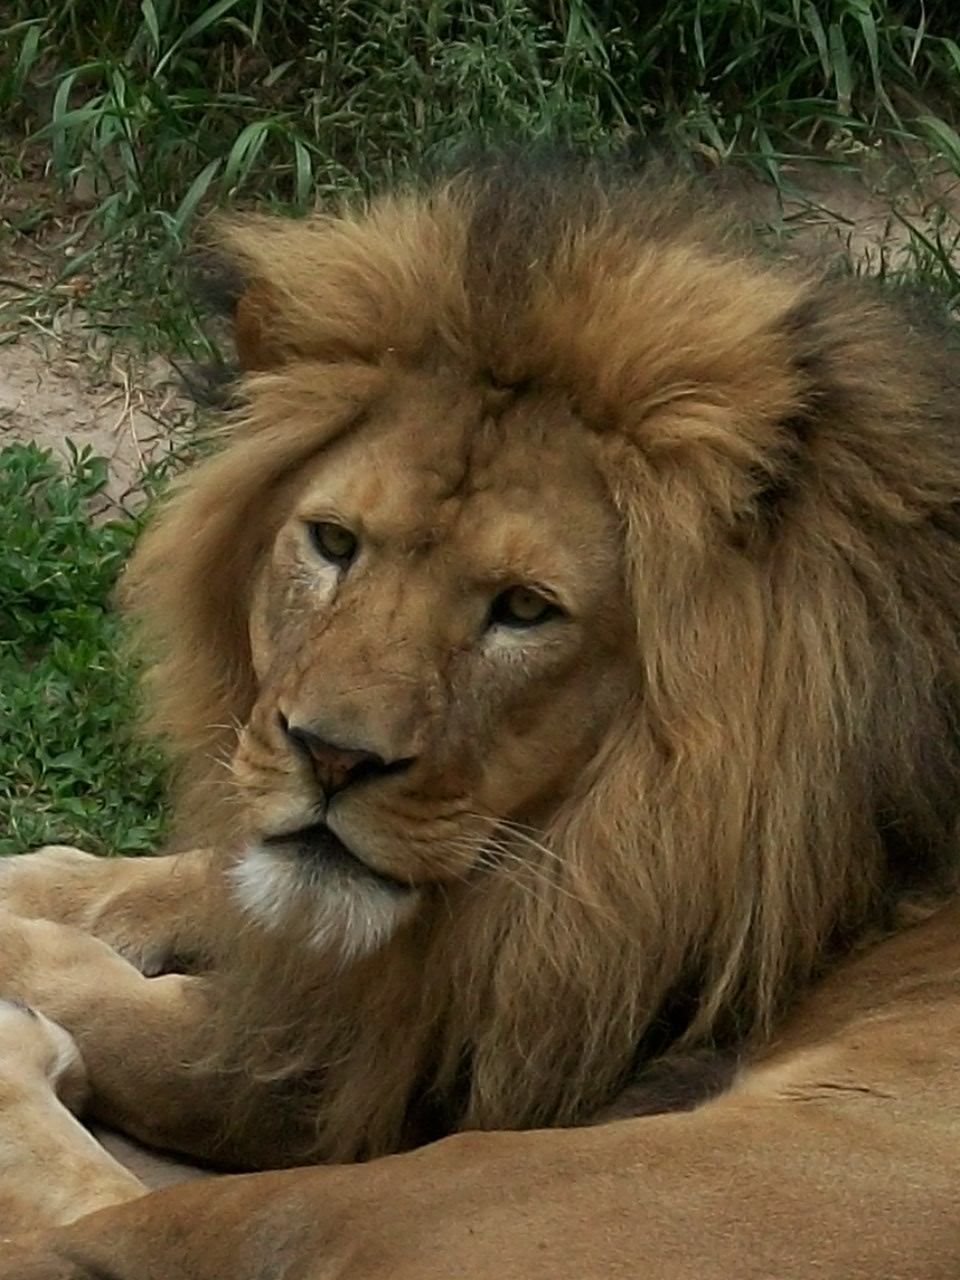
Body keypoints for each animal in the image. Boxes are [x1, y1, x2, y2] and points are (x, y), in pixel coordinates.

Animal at [1, 147, 960, 1269]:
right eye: (333, 543)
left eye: (524, 609)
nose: (330, 756)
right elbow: (228, 882)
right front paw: (45, 881)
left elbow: (148, 1022)